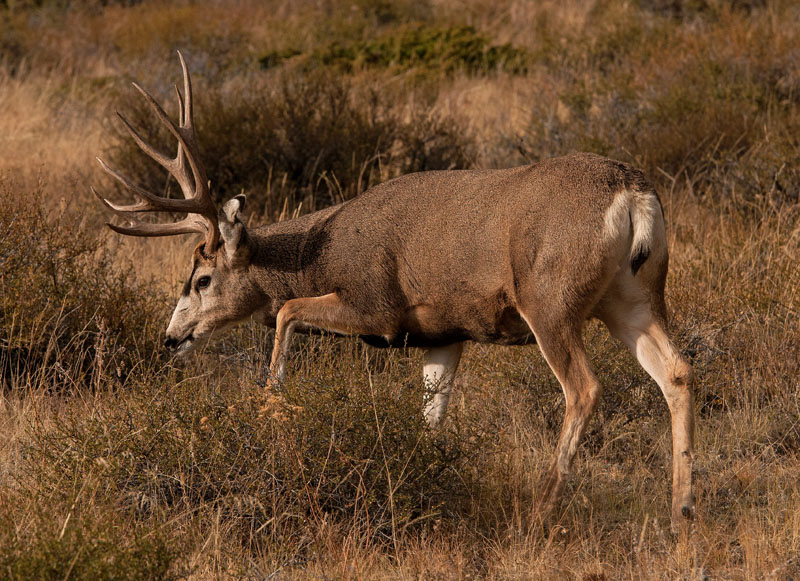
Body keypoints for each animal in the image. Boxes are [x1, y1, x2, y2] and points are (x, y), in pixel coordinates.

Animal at [93, 52, 696, 533]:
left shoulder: (377, 308)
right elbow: (430, 418)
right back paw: (681, 512)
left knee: (585, 388)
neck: (320, 254)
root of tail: (632, 193)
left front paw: (271, 410)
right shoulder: (444, 334)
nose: (171, 337)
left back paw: (540, 511)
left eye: (202, 279)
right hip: (633, 298)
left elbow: (287, 311)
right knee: (677, 371)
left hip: (549, 301)